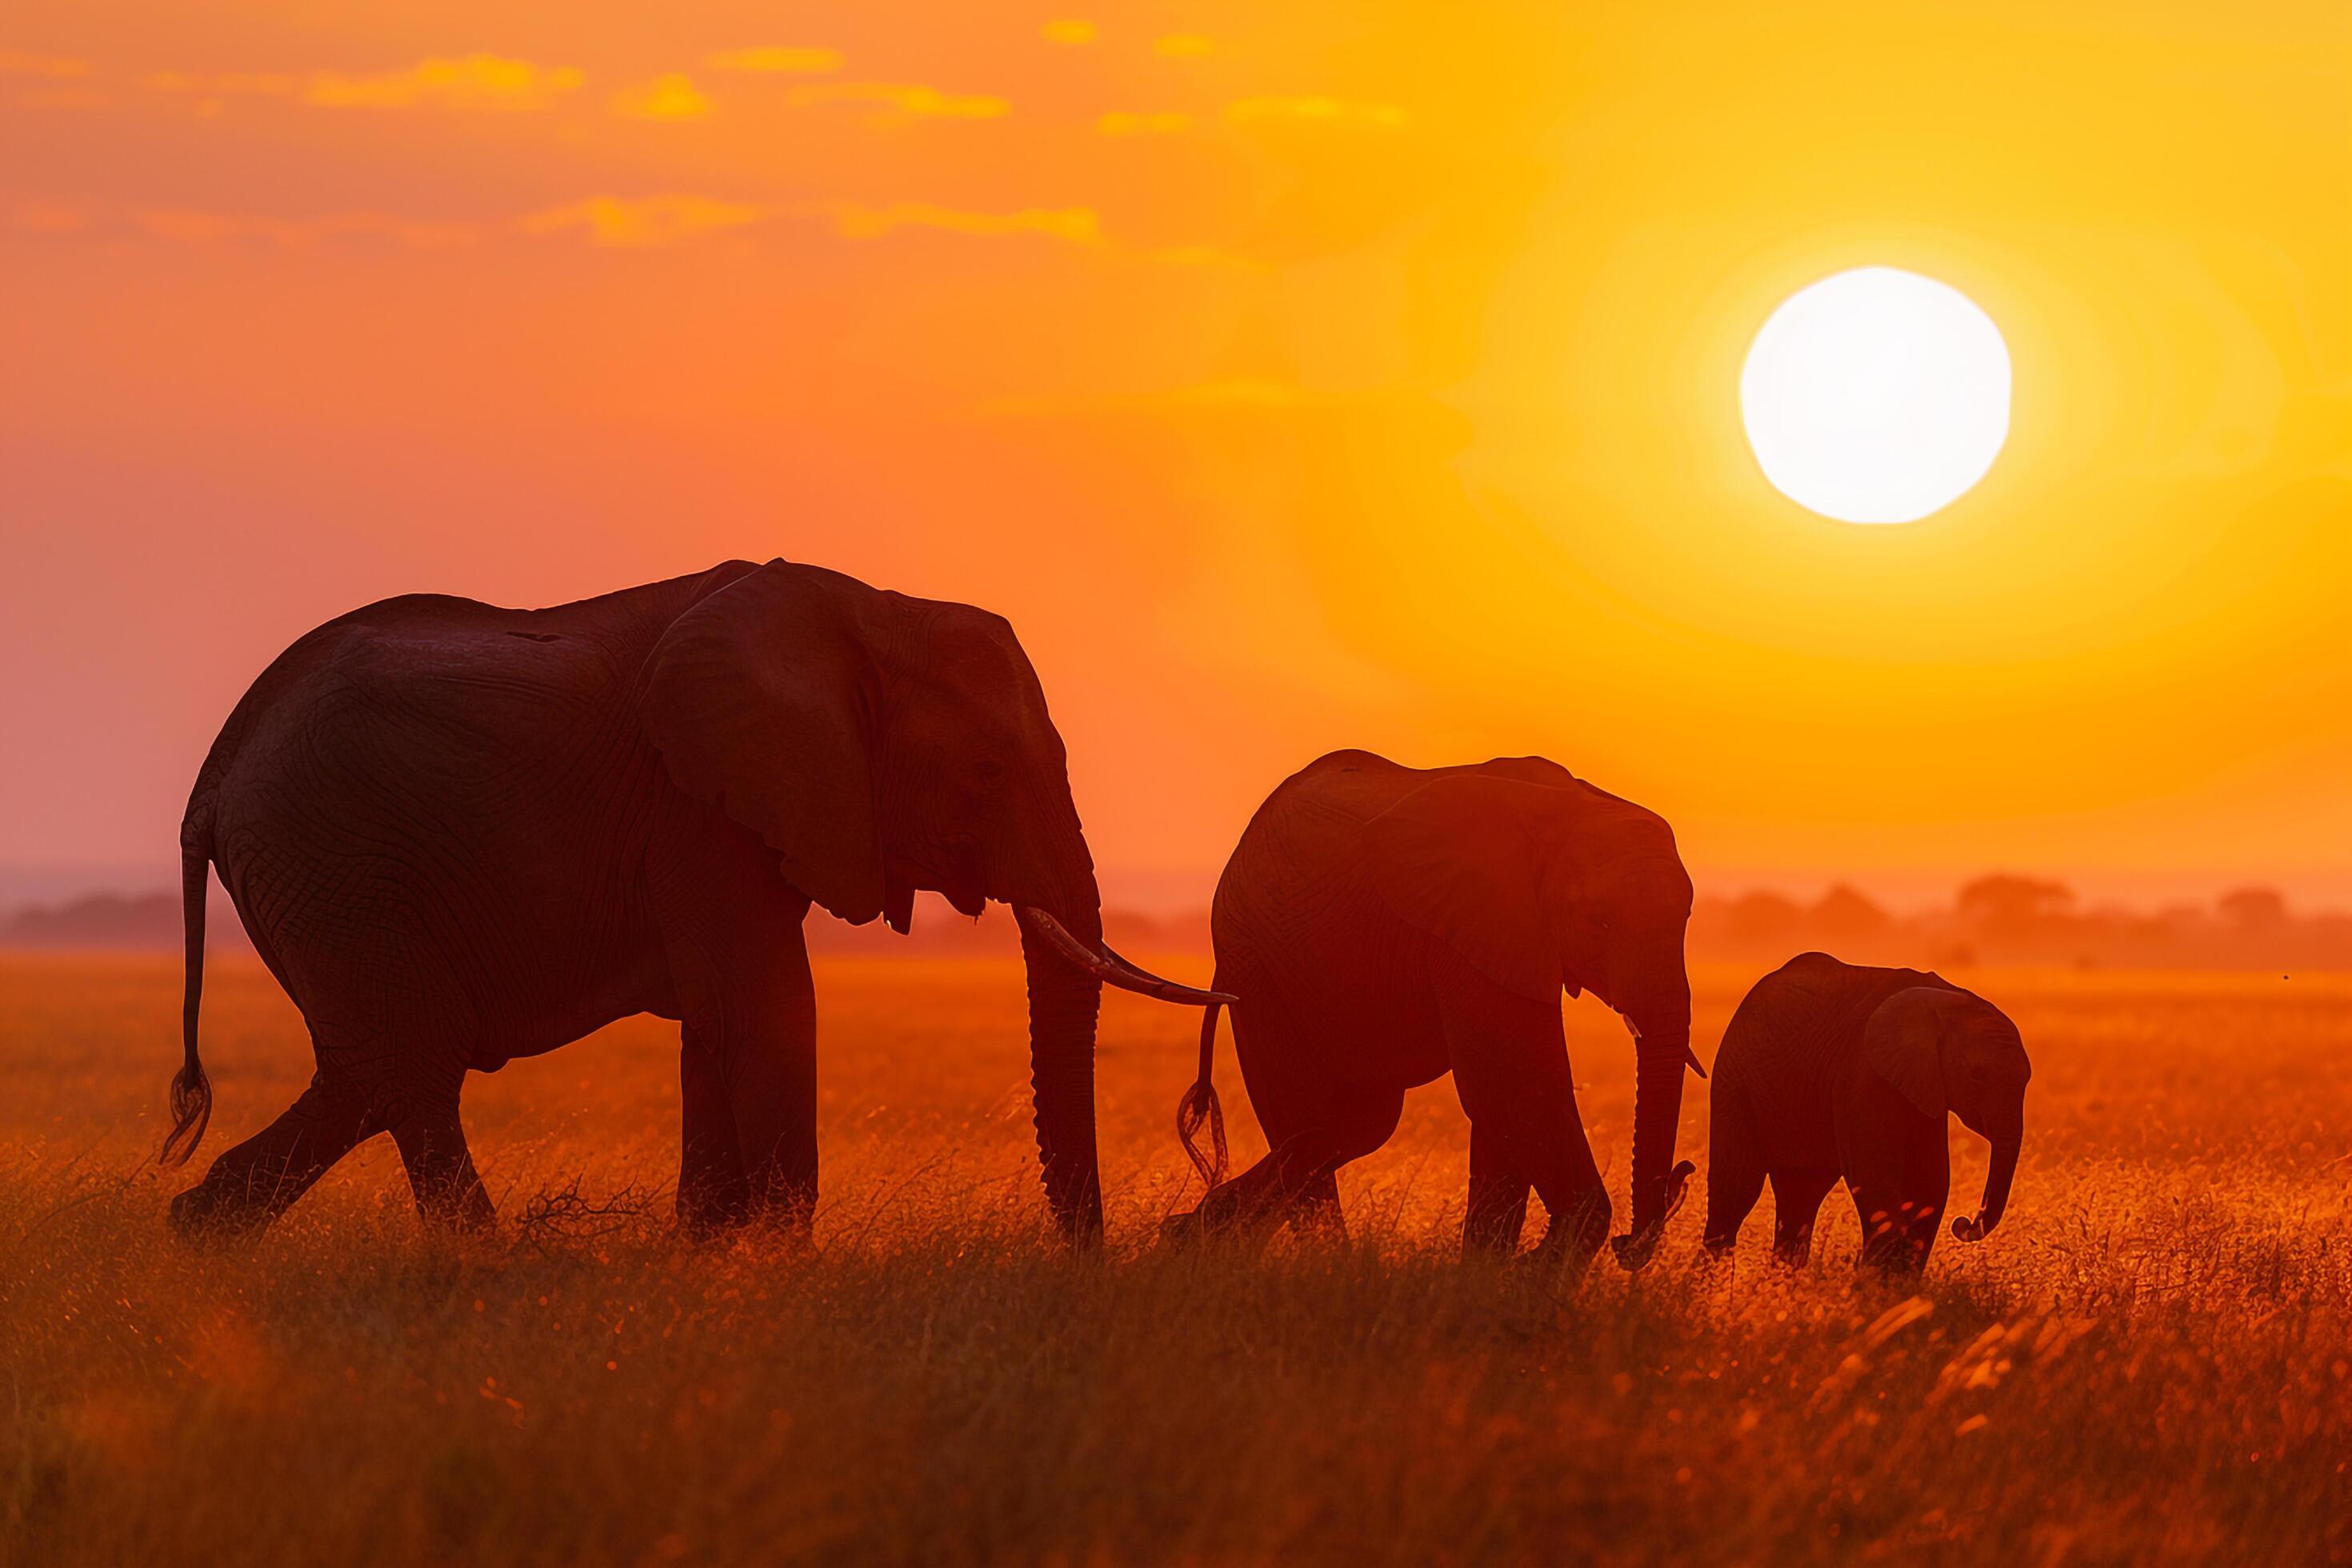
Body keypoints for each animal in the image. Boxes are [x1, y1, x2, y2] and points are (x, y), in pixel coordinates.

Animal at [161, 562, 1232, 1241]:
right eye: (985, 770)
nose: (1089, 1265)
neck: (875, 612)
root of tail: (212, 777)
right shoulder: (700, 809)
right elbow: (768, 1013)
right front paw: (781, 1274)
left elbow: (718, 1030)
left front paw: (709, 1267)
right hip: (331, 861)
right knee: (414, 1066)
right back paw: (485, 1271)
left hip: (318, 879)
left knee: (369, 1070)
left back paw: (196, 1242)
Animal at [1162, 752, 1702, 1278]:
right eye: (1599, 922)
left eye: (1688, 920)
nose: (1627, 1245)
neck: (1578, 805)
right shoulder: (1471, 932)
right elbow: (1510, 1091)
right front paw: (1525, 1275)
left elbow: (1501, 1106)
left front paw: (1487, 1277)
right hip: (1253, 960)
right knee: (1312, 1123)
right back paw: (1313, 1262)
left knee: (1352, 1125)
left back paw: (1189, 1236)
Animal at [1702, 958, 2032, 1278]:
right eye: (1977, 1077)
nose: (1964, 1223)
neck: (1953, 1000)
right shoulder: (1861, 1069)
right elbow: (1873, 1175)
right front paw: (1874, 1282)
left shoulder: (1924, 1085)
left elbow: (1932, 1184)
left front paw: (1895, 1286)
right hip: (1734, 1078)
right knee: (1737, 1188)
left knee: (1801, 1195)